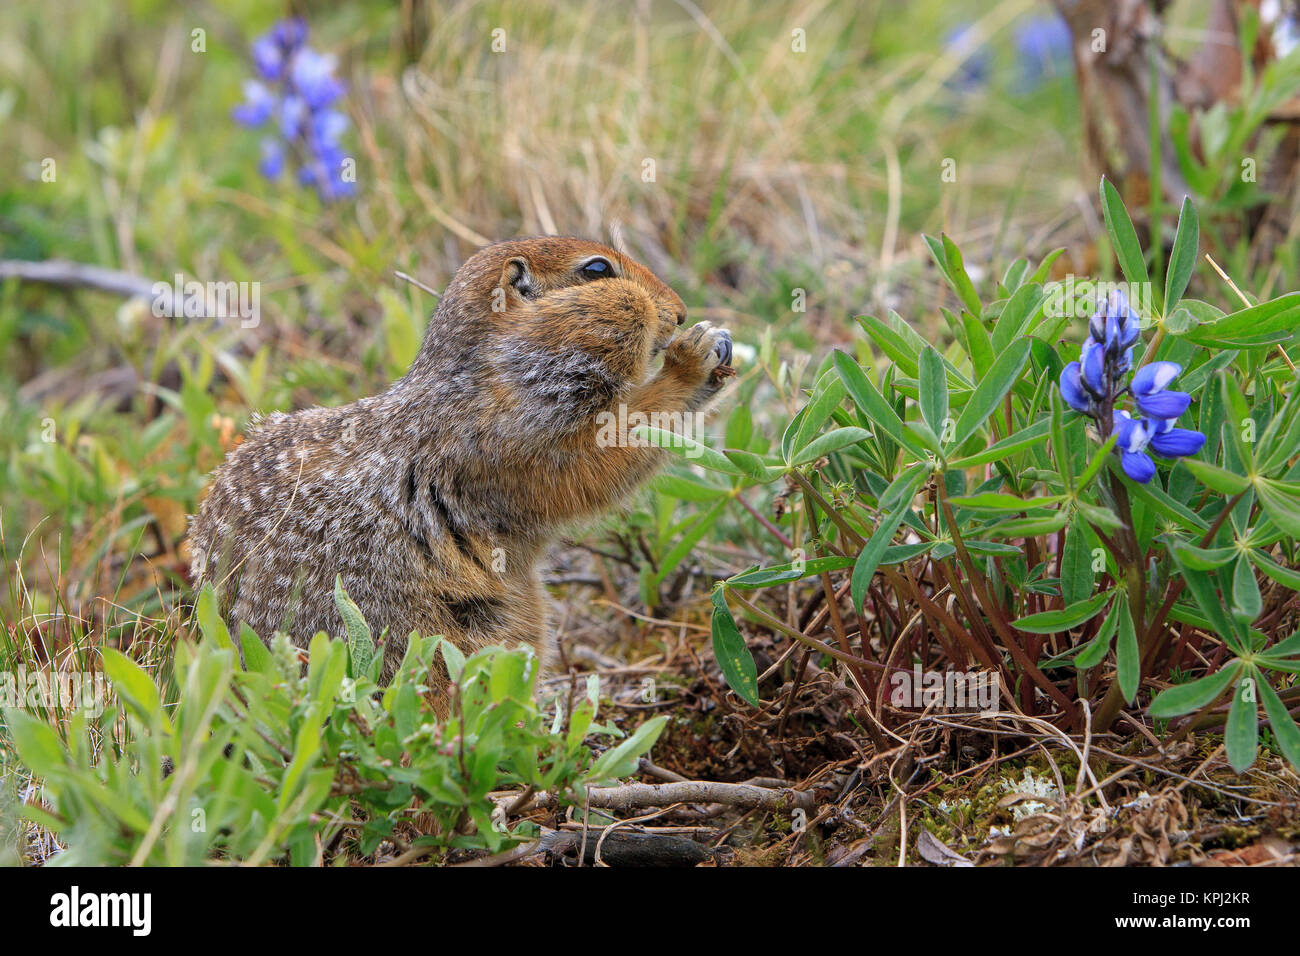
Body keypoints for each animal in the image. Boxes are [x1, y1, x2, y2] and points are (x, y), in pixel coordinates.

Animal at [187, 238, 733, 686]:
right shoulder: (510, 437)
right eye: (598, 269)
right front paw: (694, 357)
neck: (489, 374)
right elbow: (596, 459)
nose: (680, 313)